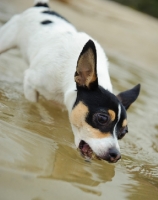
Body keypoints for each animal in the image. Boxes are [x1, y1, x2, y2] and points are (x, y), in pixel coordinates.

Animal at [0, 0, 140, 162]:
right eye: (102, 118)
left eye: (123, 132)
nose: (115, 155)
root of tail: (42, 7)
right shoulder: (30, 82)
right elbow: (35, 104)